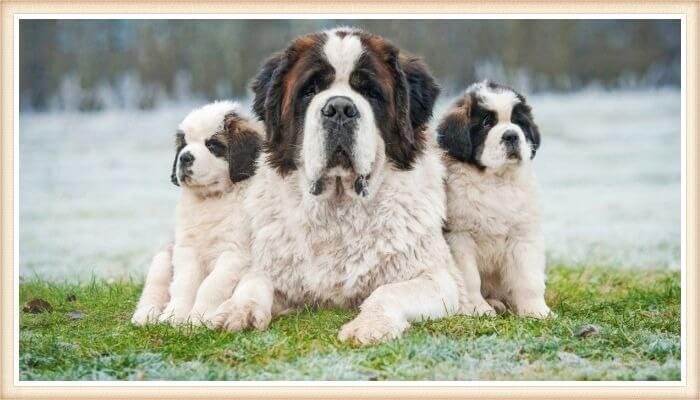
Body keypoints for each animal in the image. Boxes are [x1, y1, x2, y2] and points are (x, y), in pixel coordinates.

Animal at [132, 101, 262, 326]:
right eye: (184, 144)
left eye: (212, 145)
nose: (184, 157)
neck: (211, 199)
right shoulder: (186, 248)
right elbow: (185, 283)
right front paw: (174, 316)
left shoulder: (234, 253)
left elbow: (210, 285)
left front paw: (197, 318)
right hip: (163, 258)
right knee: (154, 287)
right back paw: (146, 314)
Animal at [211, 28, 482, 342]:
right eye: (310, 90)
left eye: (370, 93)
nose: (339, 108)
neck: (338, 208)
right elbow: (254, 281)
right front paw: (236, 311)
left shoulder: (439, 278)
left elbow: (387, 291)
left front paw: (369, 325)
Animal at [438, 81, 552, 318]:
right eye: (486, 123)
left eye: (519, 123)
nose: (511, 135)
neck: (495, 182)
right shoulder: (459, 237)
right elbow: (469, 278)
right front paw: (476, 309)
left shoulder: (523, 235)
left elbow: (529, 278)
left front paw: (537, 311)